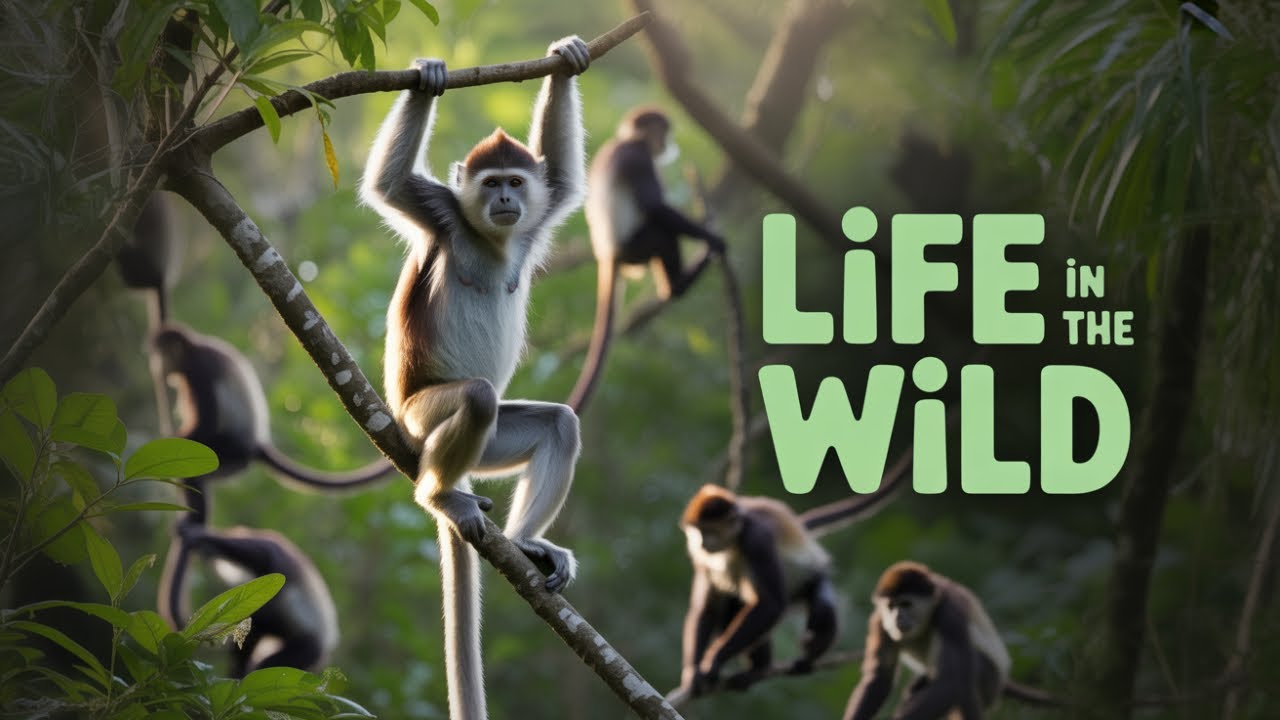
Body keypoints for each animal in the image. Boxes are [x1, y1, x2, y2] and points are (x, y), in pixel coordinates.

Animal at [151, 323, 396, 489]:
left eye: (159, 355)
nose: (155, 366)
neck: (193, 347)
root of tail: (257, 442)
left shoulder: (198, 368)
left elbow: (207, 422)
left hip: (228, 451)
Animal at [359, 36, 590, 720]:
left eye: (514, 182)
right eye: (490, 185)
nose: (506, 201)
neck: (490, 238)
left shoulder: (538, 217)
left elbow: (563, 180)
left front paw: (567, 58)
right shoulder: (443, 215)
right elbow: (387, 185)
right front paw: (427, 77)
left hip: (486, 451)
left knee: (558, 424)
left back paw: (528, 542)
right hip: (419, 419)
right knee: (481, 398)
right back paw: (439, 497)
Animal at [567, 106, 727, 413]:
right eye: (664, 132)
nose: (669, 144)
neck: (629, 140)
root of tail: (608, 254)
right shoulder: (638, 156)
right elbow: (655, 206)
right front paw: (713, 239)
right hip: (636, 247)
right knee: (664, 236)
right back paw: (678, 285)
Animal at [844, 561, 1060, 719]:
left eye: (906, 604)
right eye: (891, 606)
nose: (898, 618)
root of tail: (1002, 680)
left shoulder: (950, 613)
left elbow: (953, 681)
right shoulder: (879, 622)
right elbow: (880, 678)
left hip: (990, 682)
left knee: (967, 674)